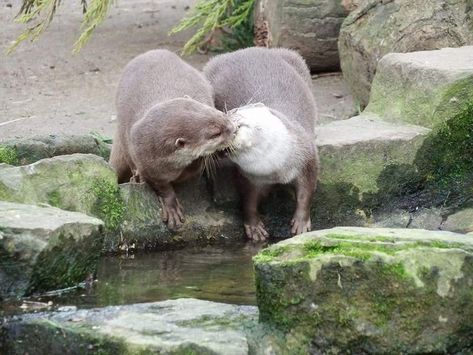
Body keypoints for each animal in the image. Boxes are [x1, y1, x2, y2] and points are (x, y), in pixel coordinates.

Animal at [110, 48, 236, 229]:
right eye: (215, 133)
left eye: (218, 113)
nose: (233, 129)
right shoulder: (146, 164)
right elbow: (161, 186)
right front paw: (171, 207)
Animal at [203, 47, 318, 242]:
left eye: (237, 112)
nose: (223, 121)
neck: (277, 166)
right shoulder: (248, 176)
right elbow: (248, 199)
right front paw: (254, 226)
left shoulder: (307, 155)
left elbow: (307, 192)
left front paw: (301, 223)